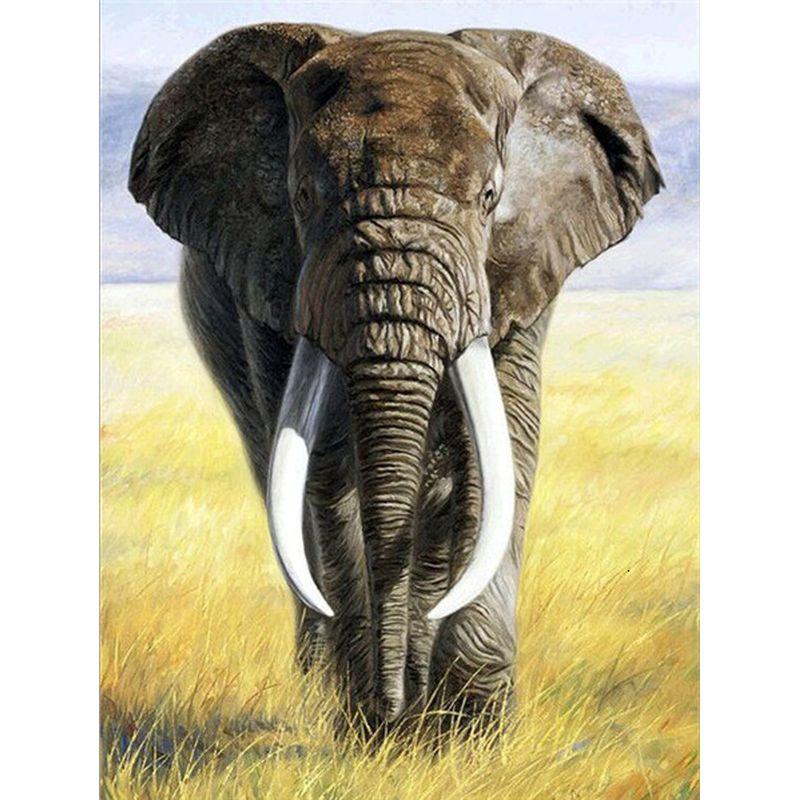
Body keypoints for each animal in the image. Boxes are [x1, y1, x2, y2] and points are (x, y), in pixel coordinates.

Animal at [129, 23, 662, 736]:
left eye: (490, 199)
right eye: (302, 198)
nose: (388, 711)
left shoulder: (521, 271)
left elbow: (502, 451)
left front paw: (467, 734)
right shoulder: (270, 286)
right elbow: (326, 462)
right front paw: (371, 726)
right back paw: (326, 688)